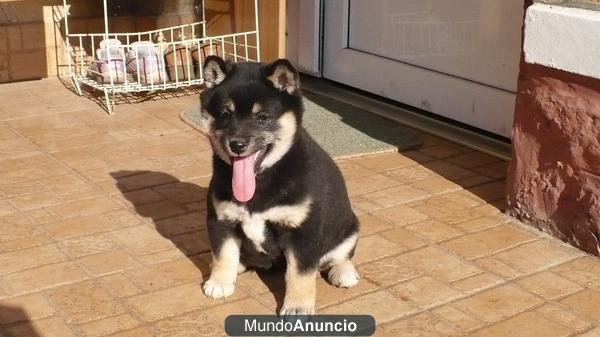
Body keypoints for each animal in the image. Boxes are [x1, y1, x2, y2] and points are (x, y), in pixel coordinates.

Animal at [199, 55, 360, 316]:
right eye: (225, 114)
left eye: (263, 117)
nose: (237, 144)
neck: (260, 181)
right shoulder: (221, 219)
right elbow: (222, 254)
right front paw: (220, 282)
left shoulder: (303, 231)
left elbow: (300, 274)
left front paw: (297, 307)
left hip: (349, 227)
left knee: (340, 255)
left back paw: (343, 272)